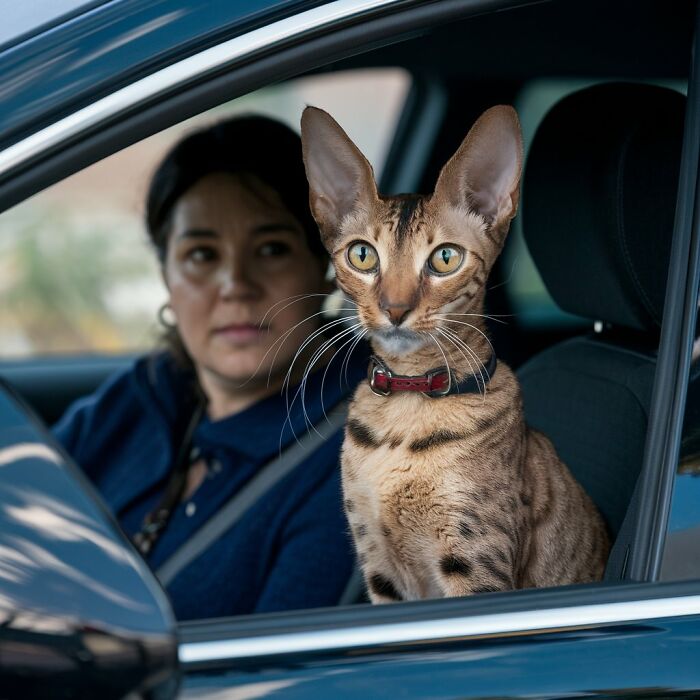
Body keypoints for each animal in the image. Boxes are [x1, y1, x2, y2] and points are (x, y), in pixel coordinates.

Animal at [298, 102, 608, 600]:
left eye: (446, 258)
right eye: (362, 255)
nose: (395, 308)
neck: (406, 408)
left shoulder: (476, 563)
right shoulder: (378, 565)